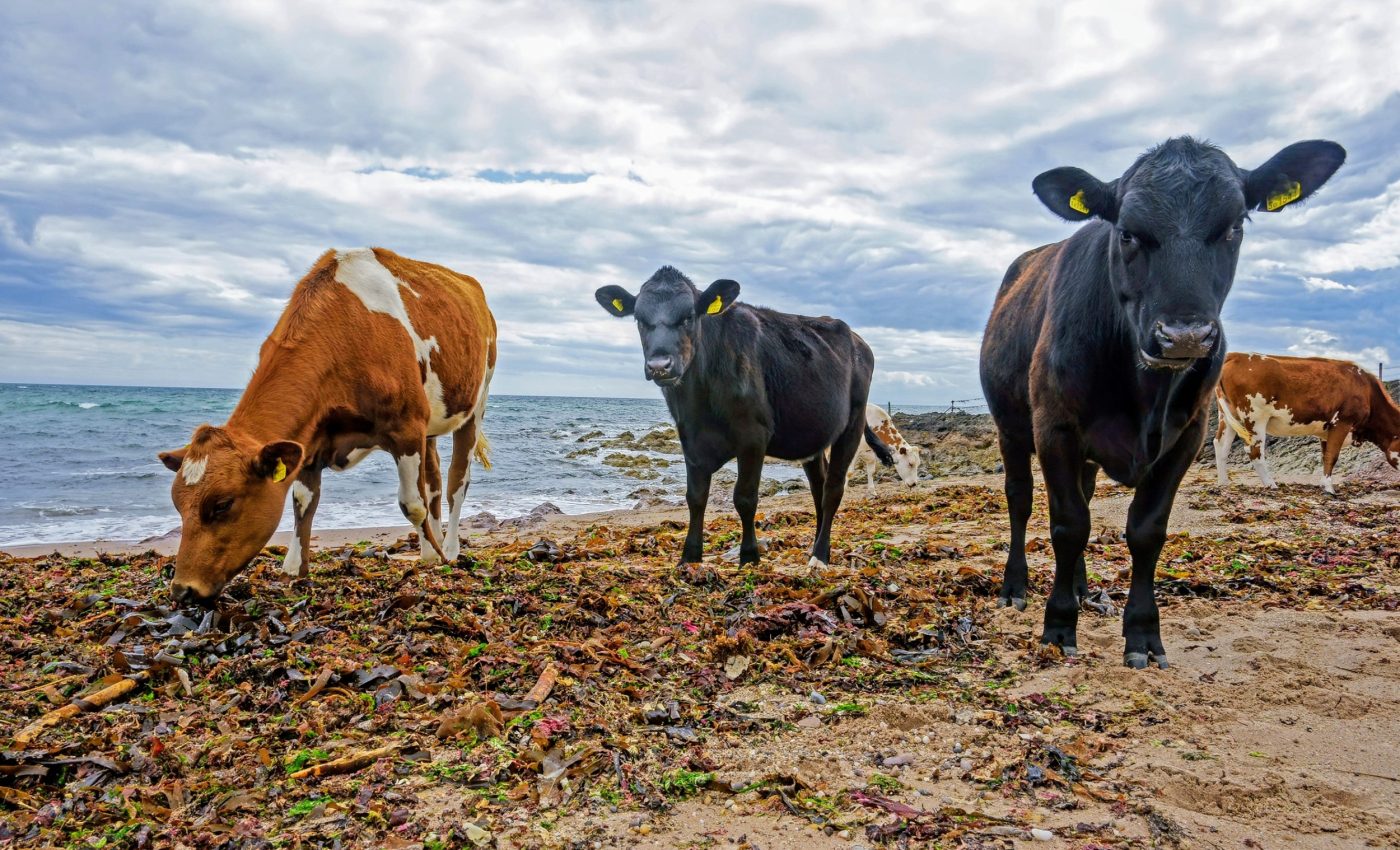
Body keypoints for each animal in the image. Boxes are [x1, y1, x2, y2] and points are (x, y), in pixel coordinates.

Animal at [159, 248, 497, 605]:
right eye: (177, 504)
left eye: (223, 504)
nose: (183, 589)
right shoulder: (309, 440)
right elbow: (302, 503)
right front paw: (294, 568)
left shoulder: (406, 427)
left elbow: (411, 504)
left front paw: (433, 557)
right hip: (430, 425)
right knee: (433, 482)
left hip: (477, 402)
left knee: (456, 483)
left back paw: (450, 548)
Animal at [595, 266, 891, 568]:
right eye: (639, 319)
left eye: (689, 316)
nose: (659, 366)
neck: (700, 400)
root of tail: (858, 340)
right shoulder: (689, 437)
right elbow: (695, 497)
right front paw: (689, 557)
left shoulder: (753, 436)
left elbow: (745, 498)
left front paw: (749, 556)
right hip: (814, 435)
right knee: (817, 487)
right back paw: (819, 548)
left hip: (852, 424)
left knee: (833, 488)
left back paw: (819, 556)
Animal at [980, 136, 1345, 669]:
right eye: (1128, 233)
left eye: (1233, 227)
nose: (1184, 335)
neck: (1143, 391)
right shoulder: (1055, 427)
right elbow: (1068, 524)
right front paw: (1059, 626)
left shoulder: (1186, 436)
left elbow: (1146, 530)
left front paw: (1142, 634)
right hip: (1010, 427)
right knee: (1020, 499)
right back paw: (1016, 586)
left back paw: (1084, 587)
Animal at [1214, 352, 1400, 494]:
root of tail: (1236, 355)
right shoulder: (1342, 422)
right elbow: (1332, 456)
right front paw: (1329, 489)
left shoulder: (1326, 431)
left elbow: (1325, 456)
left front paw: (1323, 484)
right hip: (1255, 416)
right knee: (1254, 450)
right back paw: (1271, 485)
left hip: (1227, 416)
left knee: (1221, 445)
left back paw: (1224, 484)